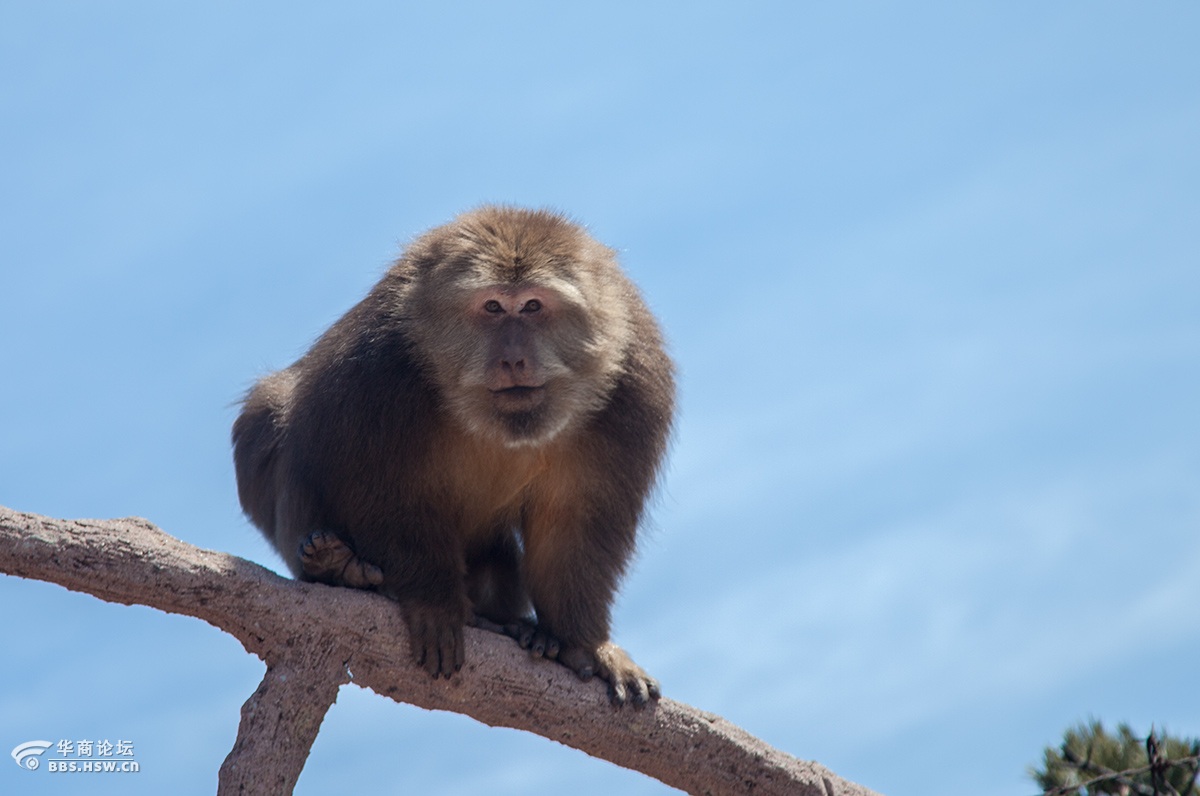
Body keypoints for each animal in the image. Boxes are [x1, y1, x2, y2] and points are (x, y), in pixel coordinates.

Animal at [229, 204, 672, 705]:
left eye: (533, 307)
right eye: (493, 307)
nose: (513, 359)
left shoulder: (632, 384)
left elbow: (578, 522)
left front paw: (584, 644)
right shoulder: (378, 369)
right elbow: (380, 488)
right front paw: (433, 601)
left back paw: (516, 626)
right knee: (266, 416)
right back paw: (335, 567)